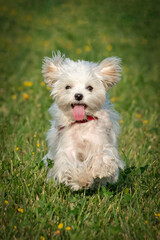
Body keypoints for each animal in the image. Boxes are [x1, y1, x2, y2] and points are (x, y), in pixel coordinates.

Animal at [42, 51, 124, 190]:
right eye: (67, 87)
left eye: (90, 88)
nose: (78, 95)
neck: (82, 123)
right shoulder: (68, 148)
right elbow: (70, 164)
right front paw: (81, 179)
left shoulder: (100, 141)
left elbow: (102, 155)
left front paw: (102, 169)